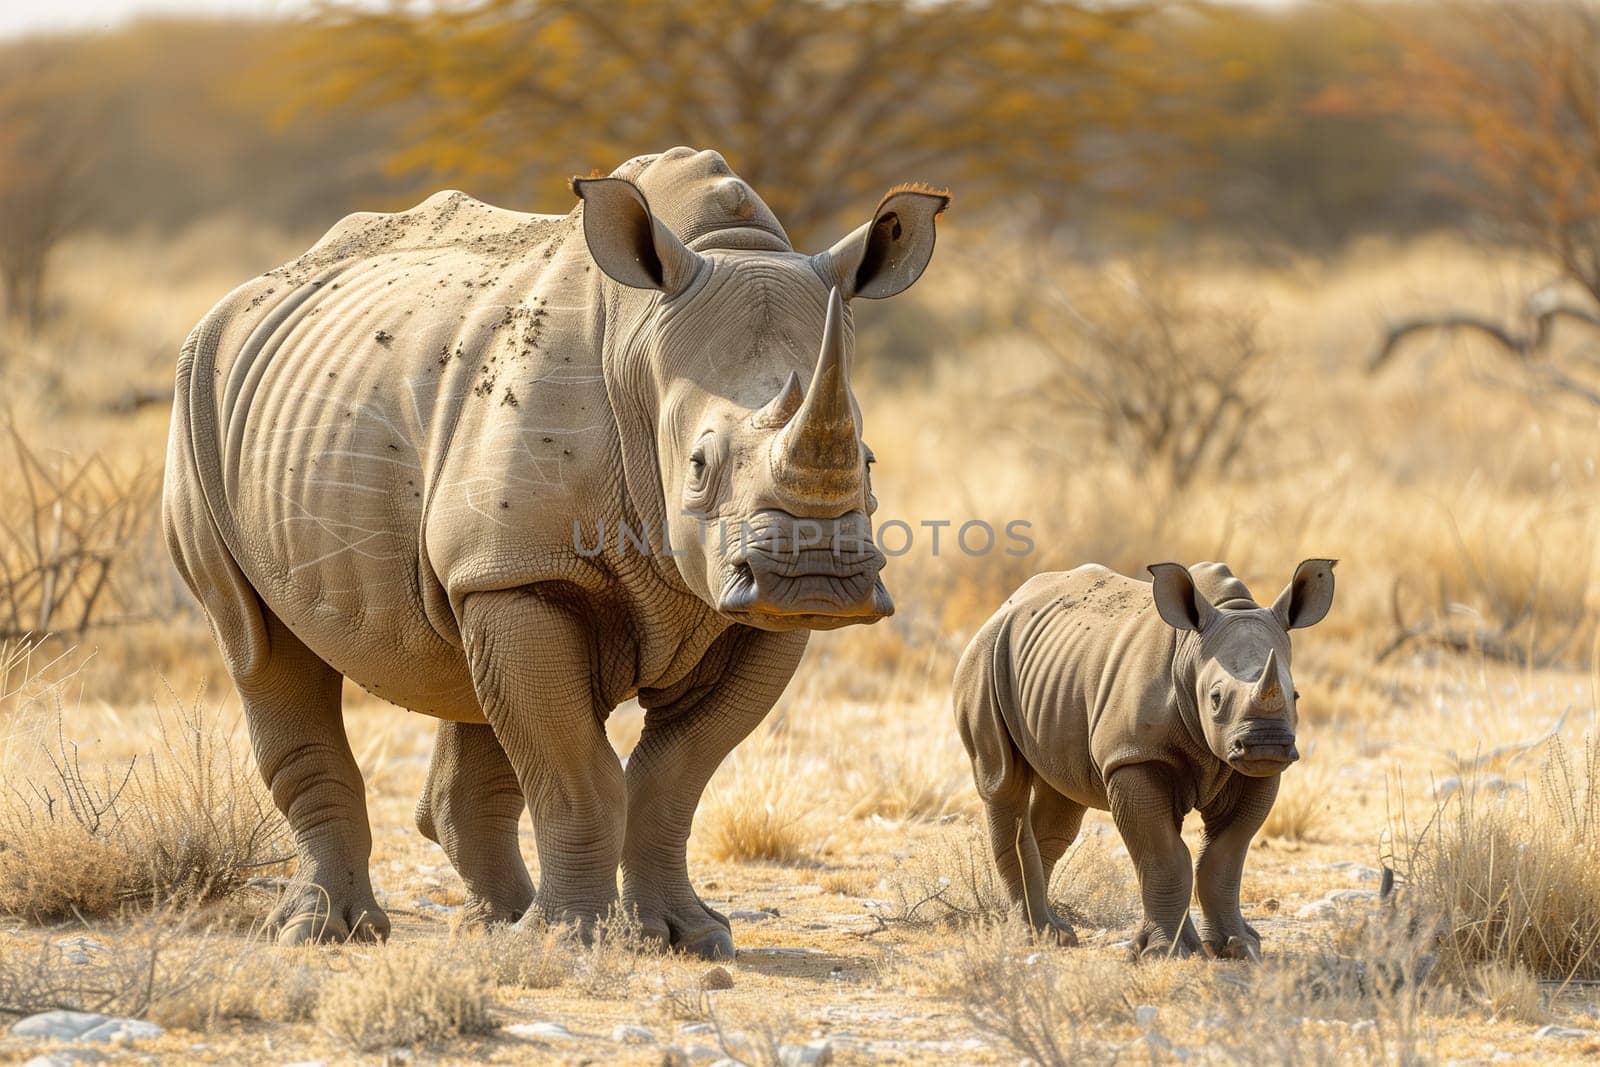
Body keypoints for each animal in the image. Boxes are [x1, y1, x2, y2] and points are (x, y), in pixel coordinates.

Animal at [165, 146, 934, 953]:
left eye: (871, 462)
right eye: (697, 465)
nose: (814, 581)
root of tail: (241, 296)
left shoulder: (747, 615)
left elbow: (676, 773)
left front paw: (684, 937)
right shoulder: (522, 568)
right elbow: (576, 770)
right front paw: (566, 941)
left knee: (465, 667)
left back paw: (495, 923)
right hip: (197, 398)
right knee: (259, 643)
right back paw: (330, 931)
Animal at [947, 559, 1337, 959]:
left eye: (1296, 696)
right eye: (1215, 698)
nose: (1266, 745)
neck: (1192, 655)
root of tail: (1005, 606)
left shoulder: (1255, 774)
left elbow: (1224, 858)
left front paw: (1237, 946)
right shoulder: (1133, 758)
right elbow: (1163, 856)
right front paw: (1165, 952)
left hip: (1053, 677)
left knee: (1062, 800)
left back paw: (1055, 934)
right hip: (985, 656)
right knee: (1002, 783)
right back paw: (1034, 935)